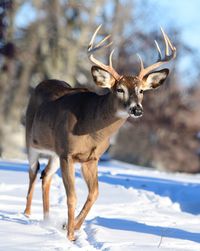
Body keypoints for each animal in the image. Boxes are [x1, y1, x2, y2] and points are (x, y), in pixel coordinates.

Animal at [24, 24, 176, 240]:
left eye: (141, 91)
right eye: (119, 89)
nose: (137, 109)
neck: (90, 129)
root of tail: (43, 82)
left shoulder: (91, 158)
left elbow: (94, 193)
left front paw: (70, 226)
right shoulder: (68, 154)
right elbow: (72, 196)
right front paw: (69, 236)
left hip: (54, 152)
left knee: (45, 175)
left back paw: (46, 219)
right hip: (31, 141)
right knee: (33, 171)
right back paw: (27, 214)